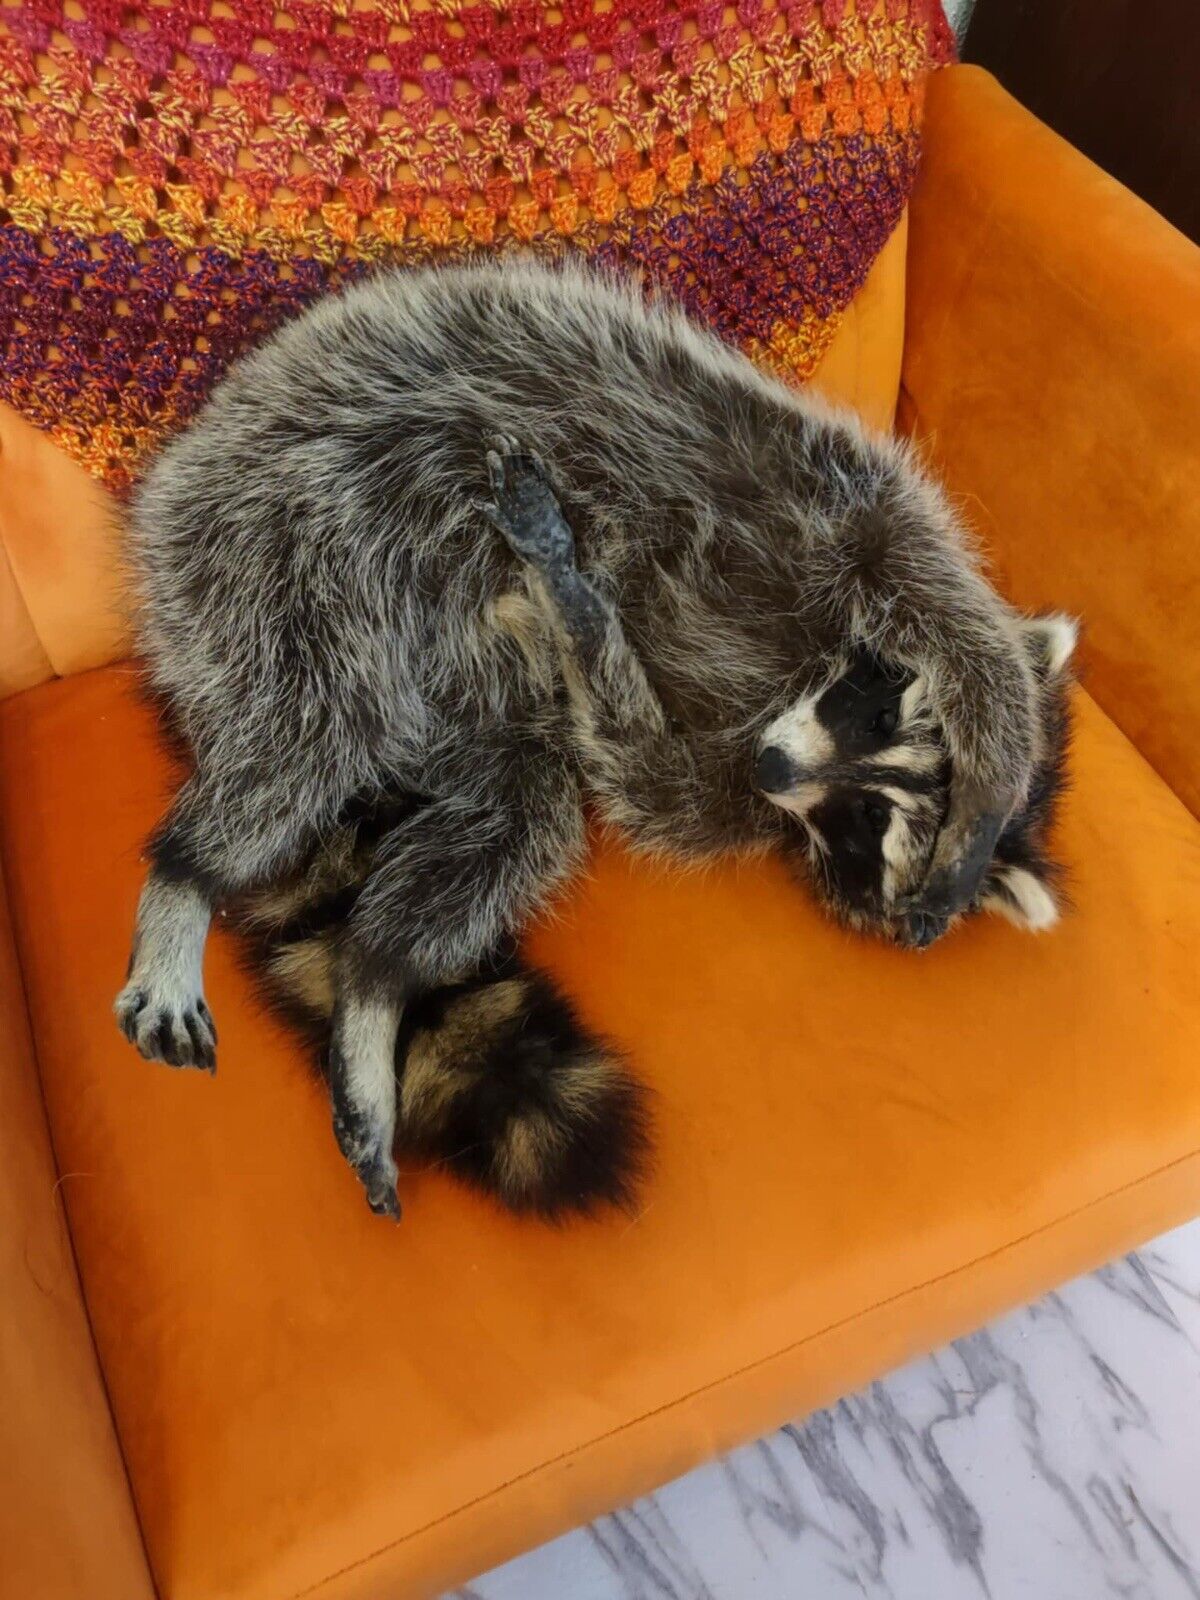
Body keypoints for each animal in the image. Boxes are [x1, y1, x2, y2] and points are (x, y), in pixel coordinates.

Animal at [114, 256, 1053, 1218]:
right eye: (873, 721)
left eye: (865, 825)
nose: (775, 765)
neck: (792, 682)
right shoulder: (832, 507)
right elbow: (959, 617)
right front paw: (987, 800)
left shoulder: (728, 793)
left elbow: (638, 769)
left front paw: (576, 611)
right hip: (274, 548)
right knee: (303, 736)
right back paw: (185, 878)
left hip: (461, 718)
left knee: (518, 814)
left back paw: (373, 981)